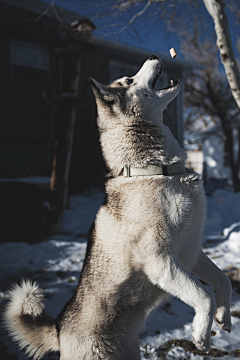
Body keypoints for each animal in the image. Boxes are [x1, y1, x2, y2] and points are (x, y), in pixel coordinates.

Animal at [4, 54, 232, 358]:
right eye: (129, 79)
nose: (153, 56)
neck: (155, 171)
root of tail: (59, 331)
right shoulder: (161, 262)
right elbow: (203, 295)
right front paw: (201, 336)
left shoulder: (190, 253)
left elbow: (223, 281)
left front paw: (224, 317)